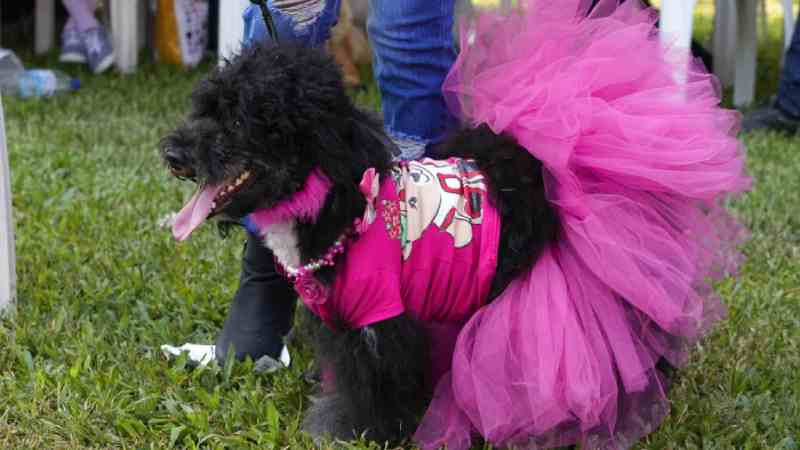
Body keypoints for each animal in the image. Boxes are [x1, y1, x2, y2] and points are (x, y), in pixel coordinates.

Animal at [162, 44, 560, 444]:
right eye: (205, 110)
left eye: (238, 122)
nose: (172, 155)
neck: (330, 204)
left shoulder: (380, 318)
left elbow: (375, 386)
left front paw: (363, 431)